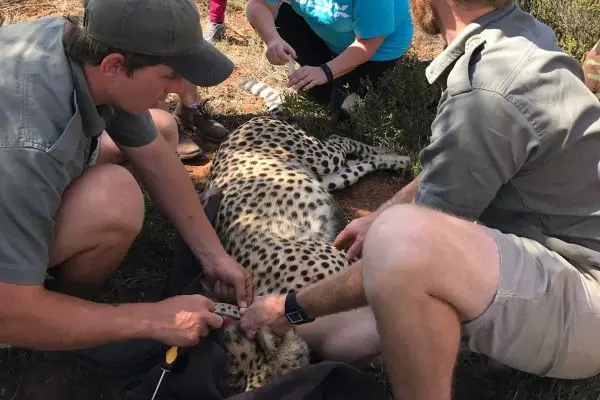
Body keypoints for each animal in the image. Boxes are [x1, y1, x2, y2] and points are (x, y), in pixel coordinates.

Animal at [204, 80, 410, 394]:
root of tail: (237, 131)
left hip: (319, 157)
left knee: (339, 140)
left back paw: (393, 150)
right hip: (327, 178)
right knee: (358, 164)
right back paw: (396, 158)